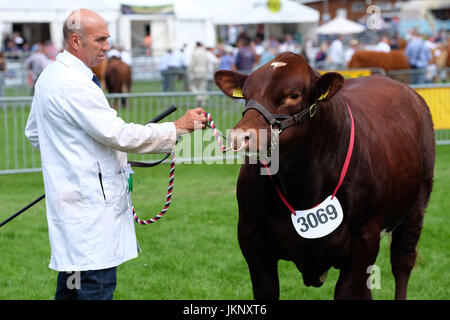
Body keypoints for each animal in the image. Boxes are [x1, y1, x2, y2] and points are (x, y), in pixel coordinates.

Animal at [216, 51, 434, 298]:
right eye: (245, 95)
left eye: (293, 95)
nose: (240, 136)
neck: (301, 185)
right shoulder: (251, 237)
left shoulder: (364, 238)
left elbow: (348, 291)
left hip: (416, 204)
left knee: (402, 262)